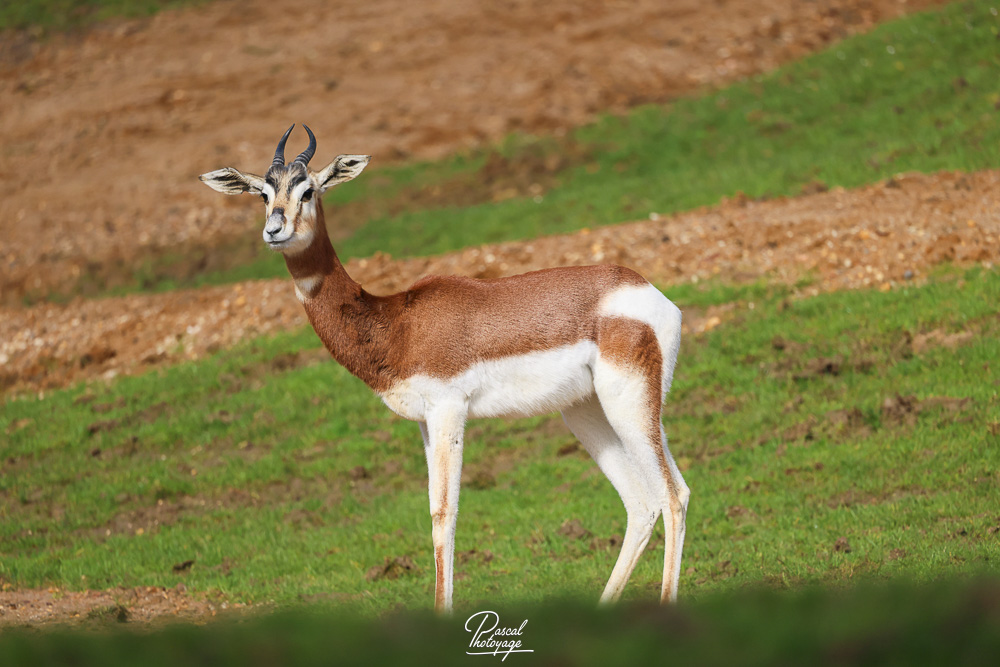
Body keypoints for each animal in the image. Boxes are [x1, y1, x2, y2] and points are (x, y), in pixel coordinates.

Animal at [199, 125, 690, 614]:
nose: (274, 229)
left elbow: (444, 513)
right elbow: (434, 511)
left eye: (308, 190)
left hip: (628, 405)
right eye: (263, 194)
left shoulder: (449, 410)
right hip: (591, 411)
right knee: (644, 501)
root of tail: (653, 294)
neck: (397, 323)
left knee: (671, 495)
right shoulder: (424, 422)